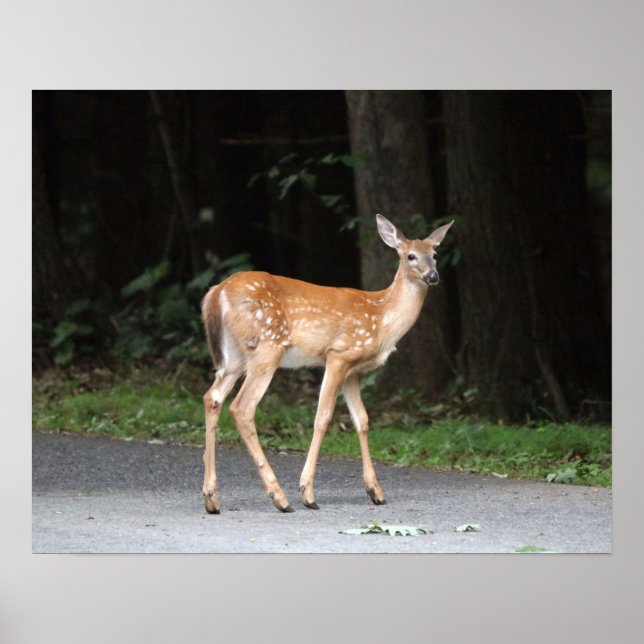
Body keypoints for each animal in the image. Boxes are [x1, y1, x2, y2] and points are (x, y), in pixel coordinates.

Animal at [201, 214, 453, 513]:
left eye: (435, 254)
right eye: (411, 256)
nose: (433, 276)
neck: (381, 319)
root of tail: (216, 293)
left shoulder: (353, 371)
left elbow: (362, 420)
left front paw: (375, 491)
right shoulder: (338, 354)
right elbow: (323, 417)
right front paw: (307, 492)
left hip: (235, 356)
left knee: (212, 398)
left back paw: (212, 498)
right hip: (268, 347)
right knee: (241, 407)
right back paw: (280, 497)